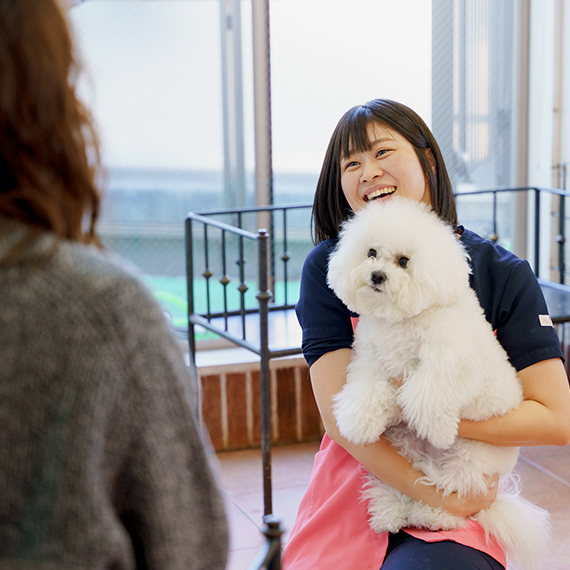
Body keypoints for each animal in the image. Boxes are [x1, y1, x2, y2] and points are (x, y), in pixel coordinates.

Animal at [328, 197, 552, 564]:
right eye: (371, 252)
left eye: (404, 261)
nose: (377, 275)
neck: (404, 319)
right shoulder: (370, 360)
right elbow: (366, 391)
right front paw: (358, 421)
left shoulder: (450, 362)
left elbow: (426, 392)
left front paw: (434, 426)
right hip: (400, 447)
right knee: (402, 484)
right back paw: (391, 512)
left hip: (469, 461)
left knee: (451, 493)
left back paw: (433, 518)